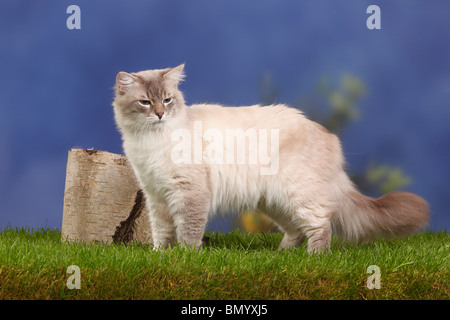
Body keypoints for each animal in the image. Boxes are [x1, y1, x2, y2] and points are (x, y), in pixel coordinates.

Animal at [112, 63, 428, 254]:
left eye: (166, 100)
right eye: (145, 102)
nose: (160, 114)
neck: (151, 141)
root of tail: (327, 134)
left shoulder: (188, 193)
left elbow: (188, 232)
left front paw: (185, 257)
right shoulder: (156, 195)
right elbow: (161, 232)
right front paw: (160, 255)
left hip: (295, 193)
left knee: (321, 224)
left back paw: (314, 258)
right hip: (273, 201)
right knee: (296, 230)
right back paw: (281, 255)